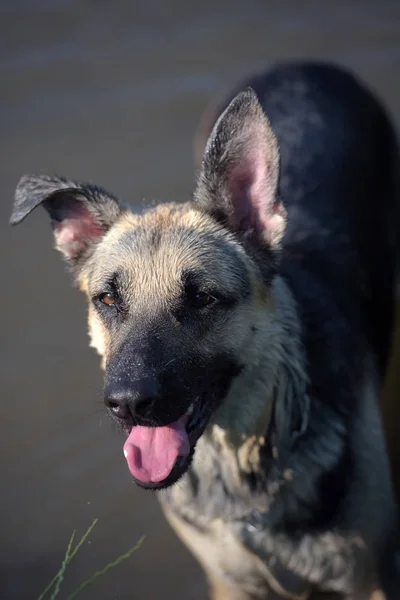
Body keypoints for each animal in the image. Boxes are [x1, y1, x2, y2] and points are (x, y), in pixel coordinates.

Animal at [9, 62, 400, 600]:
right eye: (107, 300)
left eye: (203, 299)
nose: (128, 404)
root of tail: (307, 66)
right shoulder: (228, 582)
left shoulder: (370, 582)